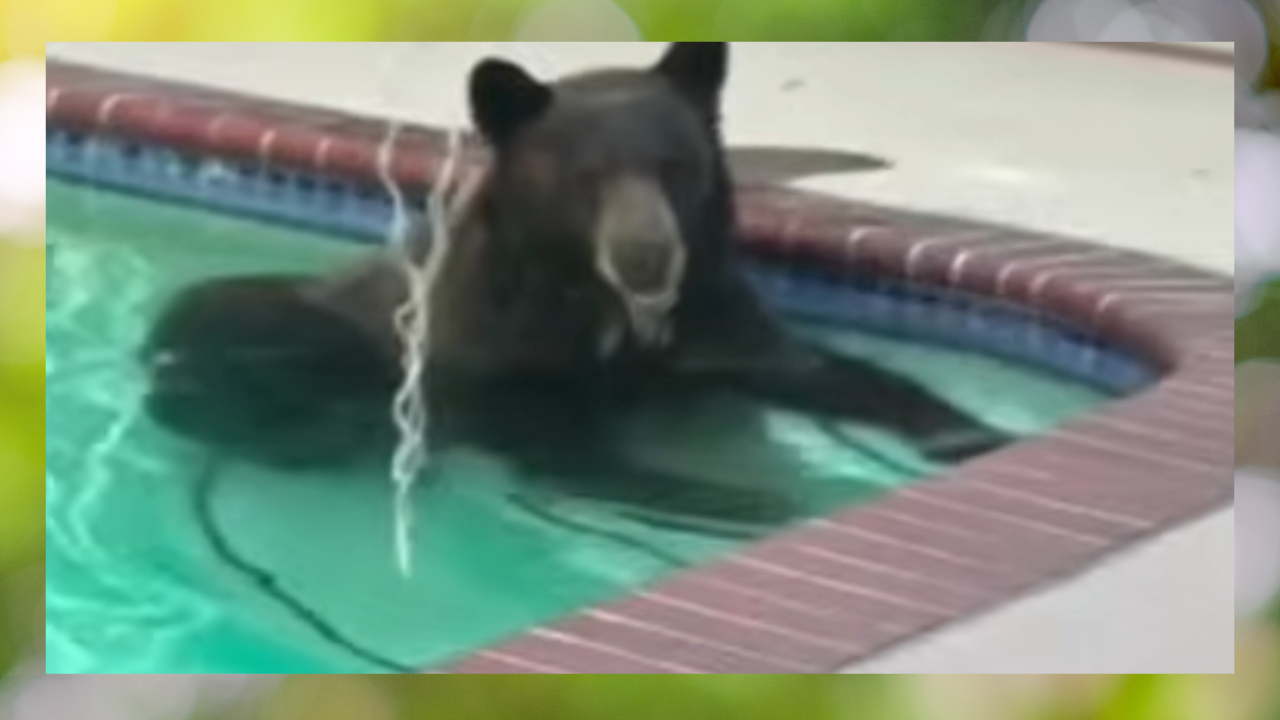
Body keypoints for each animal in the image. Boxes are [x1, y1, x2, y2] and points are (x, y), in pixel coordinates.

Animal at [142, 43, 1009, 530]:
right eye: (586, 175)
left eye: (672, 165)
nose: (647, 254)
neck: (610, 310)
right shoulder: (494, 356)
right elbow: (565, 447)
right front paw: (736, 500)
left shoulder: (715, 322)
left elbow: (816, 368)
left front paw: (963, 433)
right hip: (254, 319)